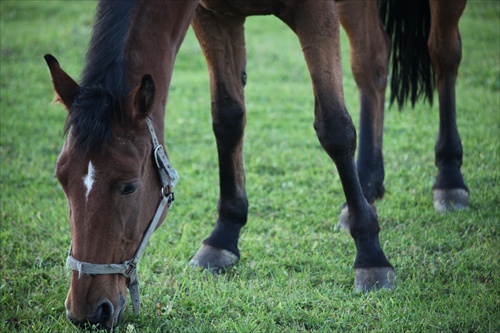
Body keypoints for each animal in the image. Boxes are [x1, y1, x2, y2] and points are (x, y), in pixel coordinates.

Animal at [44, 0, 468, 328]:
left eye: (129, 185)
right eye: (62, 180)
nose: (87, 311)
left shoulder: (316, 13)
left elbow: (334, 128)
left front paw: (371, 256)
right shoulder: (215, 17)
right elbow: (228, 118)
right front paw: (223, 236)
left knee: (443, 53)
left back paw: (448, 180)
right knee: (371, 62)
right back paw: (365, 187)